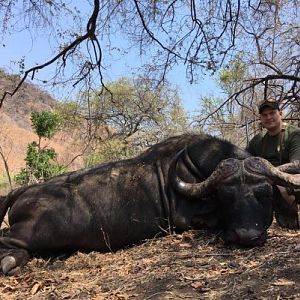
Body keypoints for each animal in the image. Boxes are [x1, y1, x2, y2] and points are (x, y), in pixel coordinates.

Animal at [0, 134, 300, 274]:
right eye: (226, 196)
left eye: (265, 194)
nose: (247, 236)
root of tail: (23, 191)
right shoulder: (186, 220)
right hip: (34, 234)